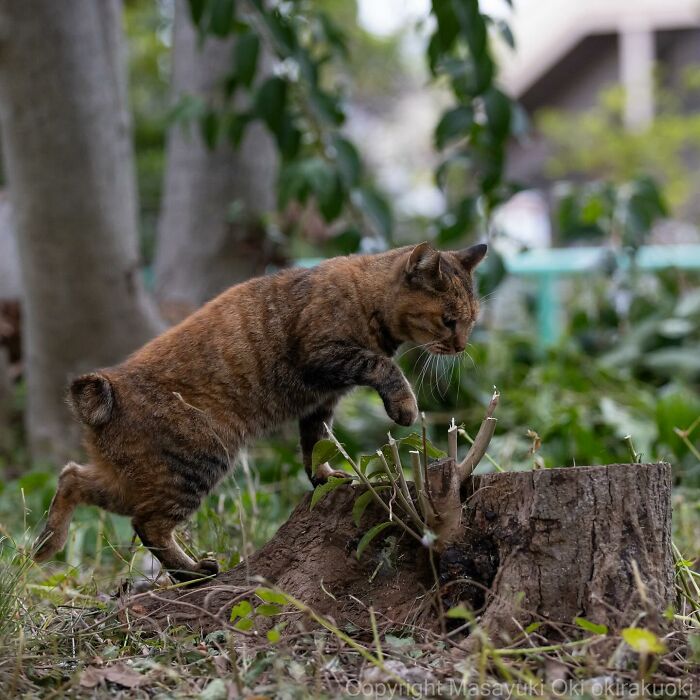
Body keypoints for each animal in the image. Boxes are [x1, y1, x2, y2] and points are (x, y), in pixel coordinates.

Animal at [32, 243, 486, 584]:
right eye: (449, 320)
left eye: (472, 320)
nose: (463, 346)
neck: (366, 296)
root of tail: (107, 389)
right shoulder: (326, 357)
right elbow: (385, 367)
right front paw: (405, 405)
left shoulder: (320, 403)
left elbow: (315, 444)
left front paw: (324, 478)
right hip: (200, 458)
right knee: (148, 524)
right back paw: (192, 573)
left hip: (133, 475)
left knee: (72, 477)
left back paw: (48, 543)